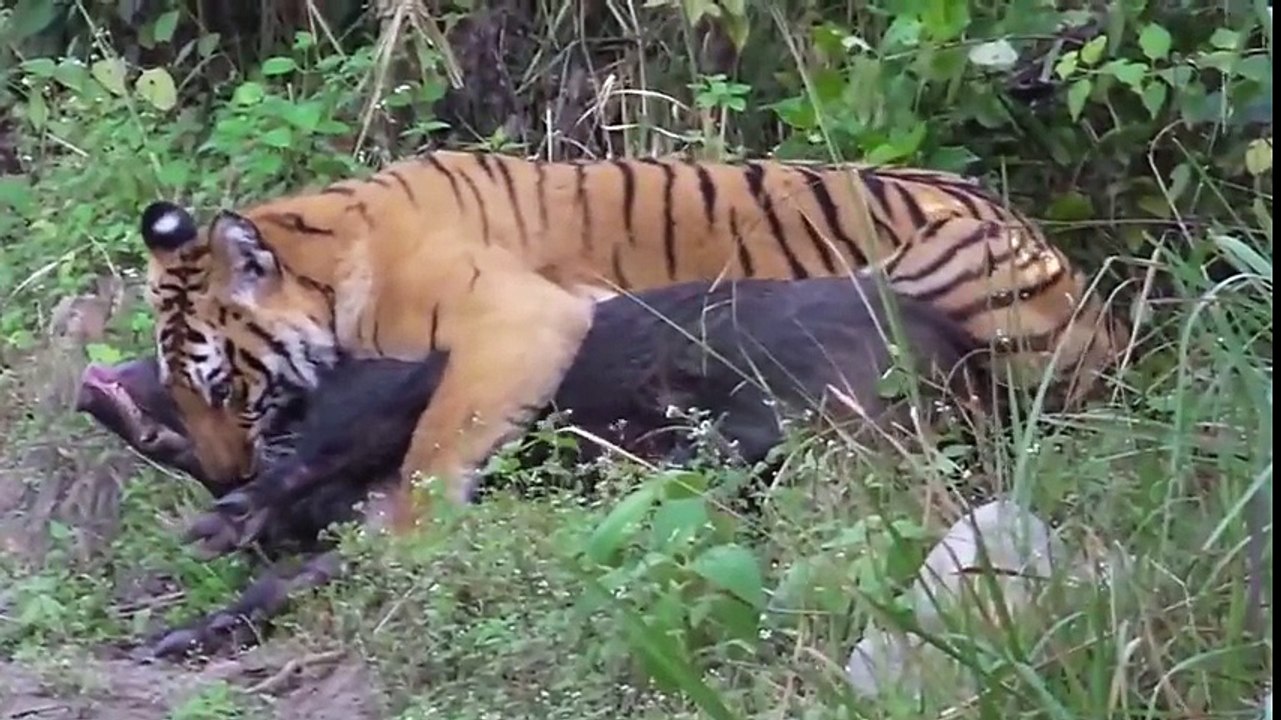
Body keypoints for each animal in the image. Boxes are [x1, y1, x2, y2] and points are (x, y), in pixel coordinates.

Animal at [139, 150, 1127, 531]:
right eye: (182, 391)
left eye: (222, 386)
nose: (222, 478)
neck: (334, 250)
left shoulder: (518, 318)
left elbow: (434, 445)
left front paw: (411, 540)